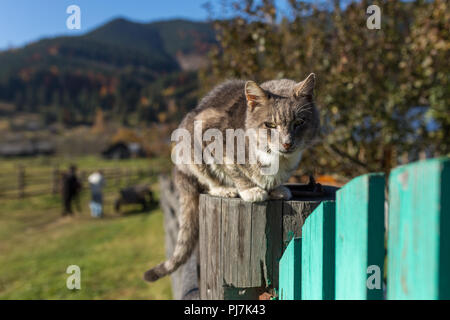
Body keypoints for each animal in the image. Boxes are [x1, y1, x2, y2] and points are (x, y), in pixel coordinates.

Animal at [145, 73, 320, 282]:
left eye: (299, 122)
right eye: (270, 125)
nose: (287, 143)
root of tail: (179, 174)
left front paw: (276, 189)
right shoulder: (213, 137)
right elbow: (234, 170)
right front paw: (250, 190)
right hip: (188, 149)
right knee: (207, 180)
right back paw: (224, 189)